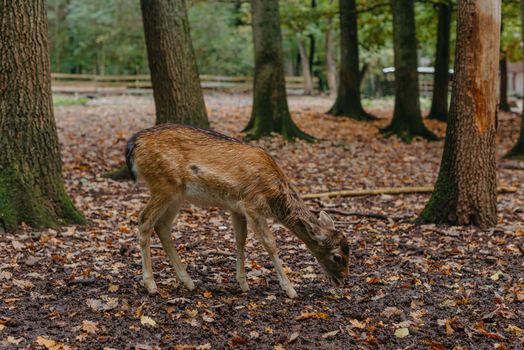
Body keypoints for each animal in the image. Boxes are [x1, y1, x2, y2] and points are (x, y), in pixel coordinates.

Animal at [125, 123, 350, 298]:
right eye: (337, 257)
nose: (343, 281)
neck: (274, 194)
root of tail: (133, 143)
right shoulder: (253, 204)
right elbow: (270, 243)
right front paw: (290, 290)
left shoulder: (236, 207)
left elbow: (240, 240)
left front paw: (243, 284)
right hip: (163, 185)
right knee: (144, 220)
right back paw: (151, 285)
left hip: (176, 195)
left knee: (162, 226)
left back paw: (188, 281)